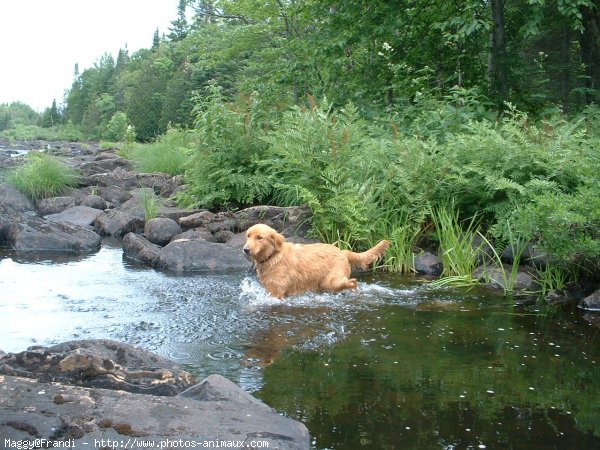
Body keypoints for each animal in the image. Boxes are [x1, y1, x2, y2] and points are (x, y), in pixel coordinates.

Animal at [241, 224, 392, 298]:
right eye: (248, 235)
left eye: (259, 237)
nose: (245, 249)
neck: (273, 256)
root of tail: (342, 251)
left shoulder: (277, 293)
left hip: (331, 281)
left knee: (353, 282)